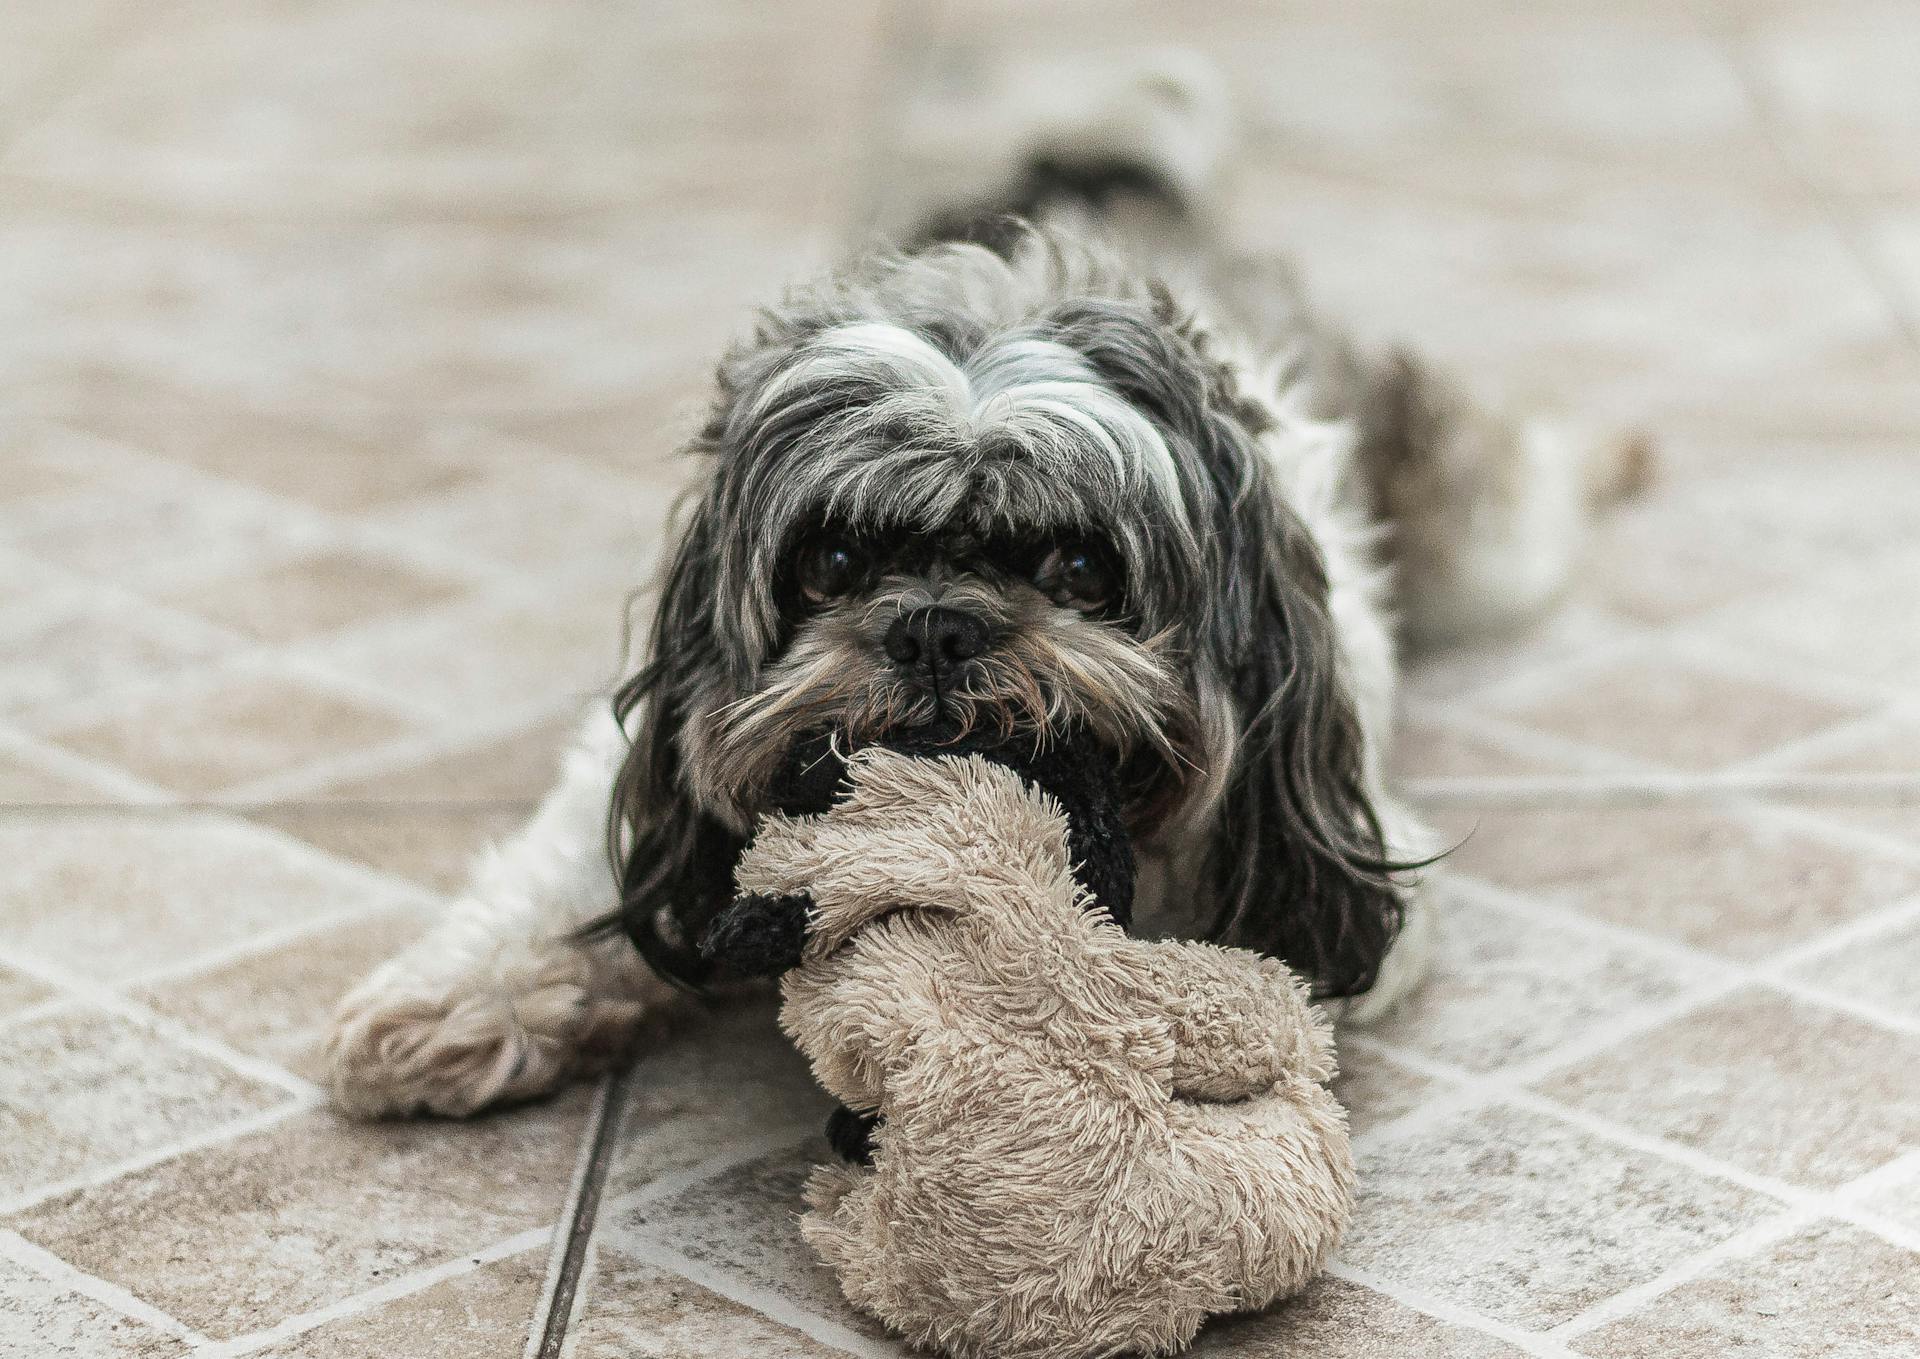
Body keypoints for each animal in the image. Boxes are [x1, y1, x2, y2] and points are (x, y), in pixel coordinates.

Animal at [322, 55, 1643, 1113]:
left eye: (1079, 566)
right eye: (833, 562)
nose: (937, 627)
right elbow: (564, 867)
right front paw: (464, 998)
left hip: (1476, 549)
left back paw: (1615, 455)